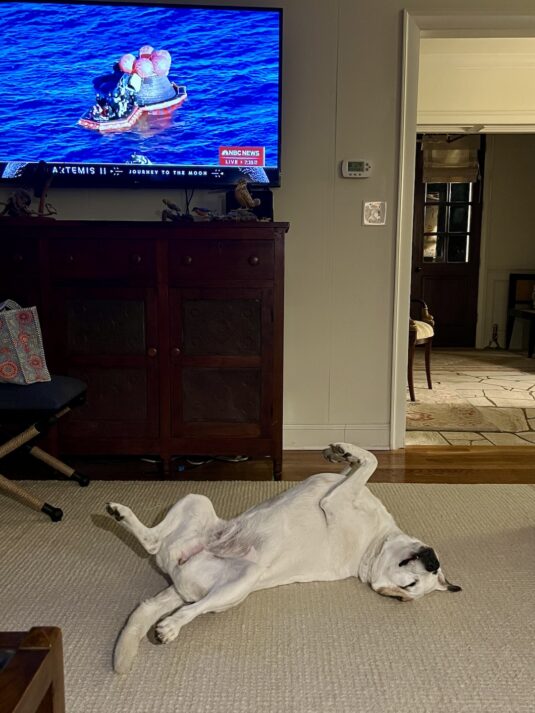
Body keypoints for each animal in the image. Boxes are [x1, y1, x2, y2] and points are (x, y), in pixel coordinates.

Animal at [107, 442, 461, 673]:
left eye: (413, 585)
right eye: (428, 575)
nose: (432, 561)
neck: (371, 548)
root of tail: (177, 581)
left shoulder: (335, 501)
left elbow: (370, 461)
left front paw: (348, 452)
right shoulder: (340, 485)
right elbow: (358, 465)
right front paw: (341, 452)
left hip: (239, 583)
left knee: (193, 605)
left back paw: (170, 626)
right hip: (197, 500)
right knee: (153, 542)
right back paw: (120, 513)